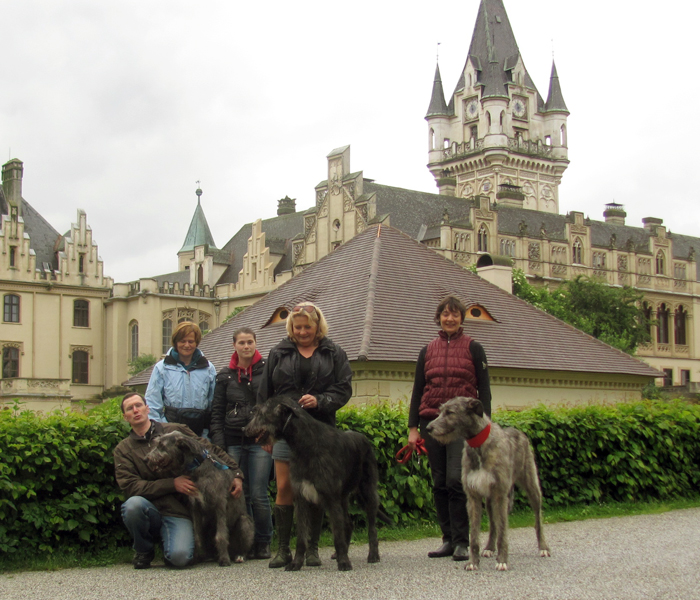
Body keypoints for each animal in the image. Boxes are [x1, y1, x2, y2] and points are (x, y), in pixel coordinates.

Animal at [146, 432, 254, 564]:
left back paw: (239, 556)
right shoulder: (195, 507)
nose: (146, 459)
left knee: (243, 543)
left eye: (162, 445)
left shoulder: (220, 505)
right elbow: (196, 536)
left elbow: (221, 535)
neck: (198, 468)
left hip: (244, 522)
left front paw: (224, 559)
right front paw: (195, 558)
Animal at [243, 396, 386, 568]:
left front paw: (344, 563)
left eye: (261, 413)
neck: (306, 443)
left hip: (367, 491)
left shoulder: (331, 497)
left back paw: (373, 555)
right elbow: (302, 536)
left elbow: (337, 535)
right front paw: (296, 563)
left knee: (372, 526)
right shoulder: (301, 497)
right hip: (343, 496)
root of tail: (364, 438)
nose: (244, 429)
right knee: (348, 523)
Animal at [426, 396, 552, 568]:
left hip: (531, 487)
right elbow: (474, 535)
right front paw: (473, 562)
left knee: (537, 519)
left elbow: (503, 532)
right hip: (489, 500)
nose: (428, 428)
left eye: (450, 412)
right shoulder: (473, 496)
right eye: (440, 411)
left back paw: (543, 547)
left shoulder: (500, 494)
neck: (478, 445)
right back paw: (489, 548)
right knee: (493, 525)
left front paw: (502, 561)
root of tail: (519, 432)